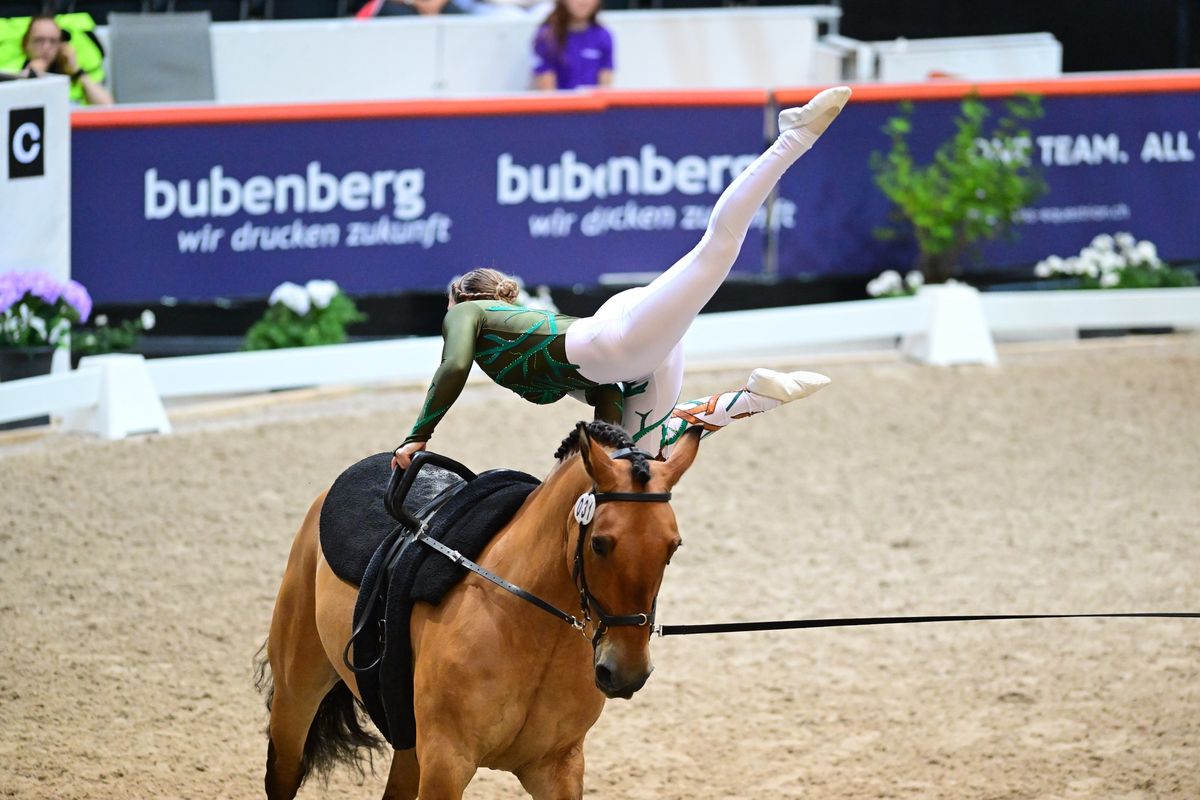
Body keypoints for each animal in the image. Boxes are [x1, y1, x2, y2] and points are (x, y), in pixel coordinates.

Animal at [258, 422, 700, 796]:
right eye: (600, 544)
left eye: (673, 547)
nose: (626, 673)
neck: (529, 629)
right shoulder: (446, 763)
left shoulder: (557, 766)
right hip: (296, 698)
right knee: (284, 771)